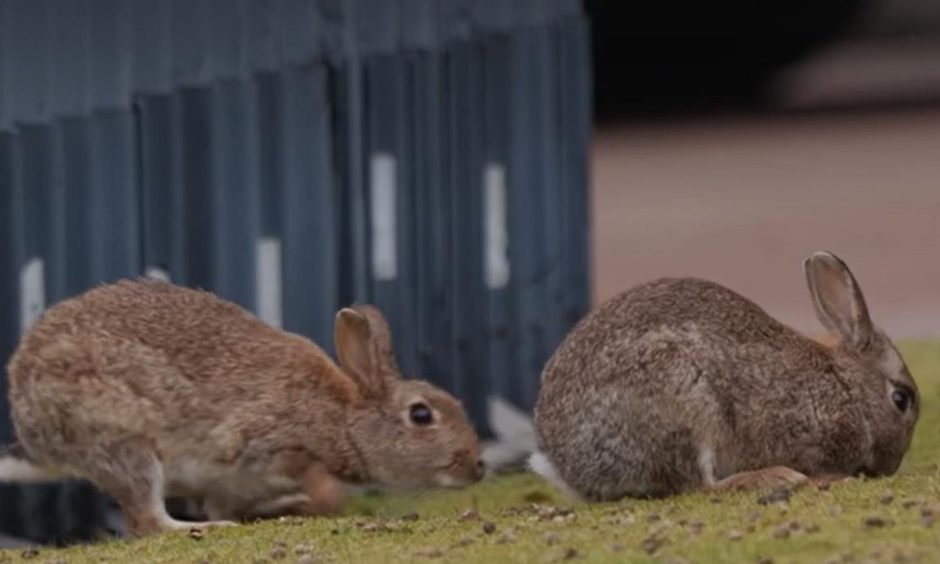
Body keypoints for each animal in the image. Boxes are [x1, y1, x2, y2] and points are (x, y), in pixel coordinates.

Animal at [0, 280, 484, 536]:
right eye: (421, 415)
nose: (477, 466)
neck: (342, 419)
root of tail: (28, 418)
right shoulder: (268, 447)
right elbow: (323, 491)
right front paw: (297, 504)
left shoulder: (224, 484)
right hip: (124, 439)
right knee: (148, 519)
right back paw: (201, 530)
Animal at [528, 253, 916, 500]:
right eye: (901, 398)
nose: (890, 467)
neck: (845, 386)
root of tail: (564, 464)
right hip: (686, 406)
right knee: (700, 484)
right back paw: (776, 477)